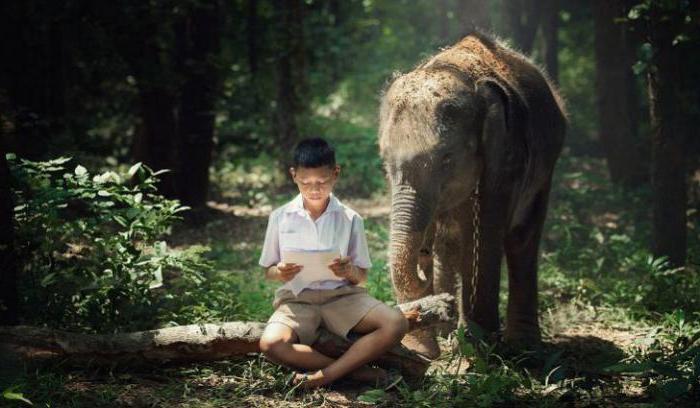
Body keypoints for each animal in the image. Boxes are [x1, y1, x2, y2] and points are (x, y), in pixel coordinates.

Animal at [380, 31, 568, 356]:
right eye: (386, 161)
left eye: (446, 159)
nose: (421, 261)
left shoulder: (506, 158)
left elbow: (483, 236)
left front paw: (479, 347)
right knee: (449, 241)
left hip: (547, 164)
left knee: (521, 239)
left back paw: (523, 345)